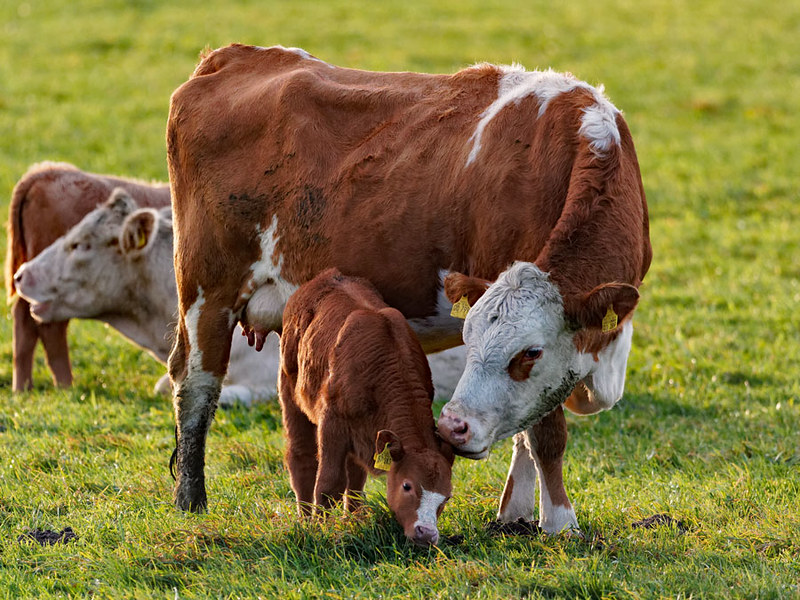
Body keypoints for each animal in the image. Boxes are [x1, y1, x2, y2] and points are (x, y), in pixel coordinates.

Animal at [167, 44, 648, 528]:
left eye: (530, 352)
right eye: (468, 337)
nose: (452, 427)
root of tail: (231, 57)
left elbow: (525, 425)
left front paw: (514, 515)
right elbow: (546, 435)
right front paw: (560, 524)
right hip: (208, 292)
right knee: (196, 387)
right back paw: (192, 499)